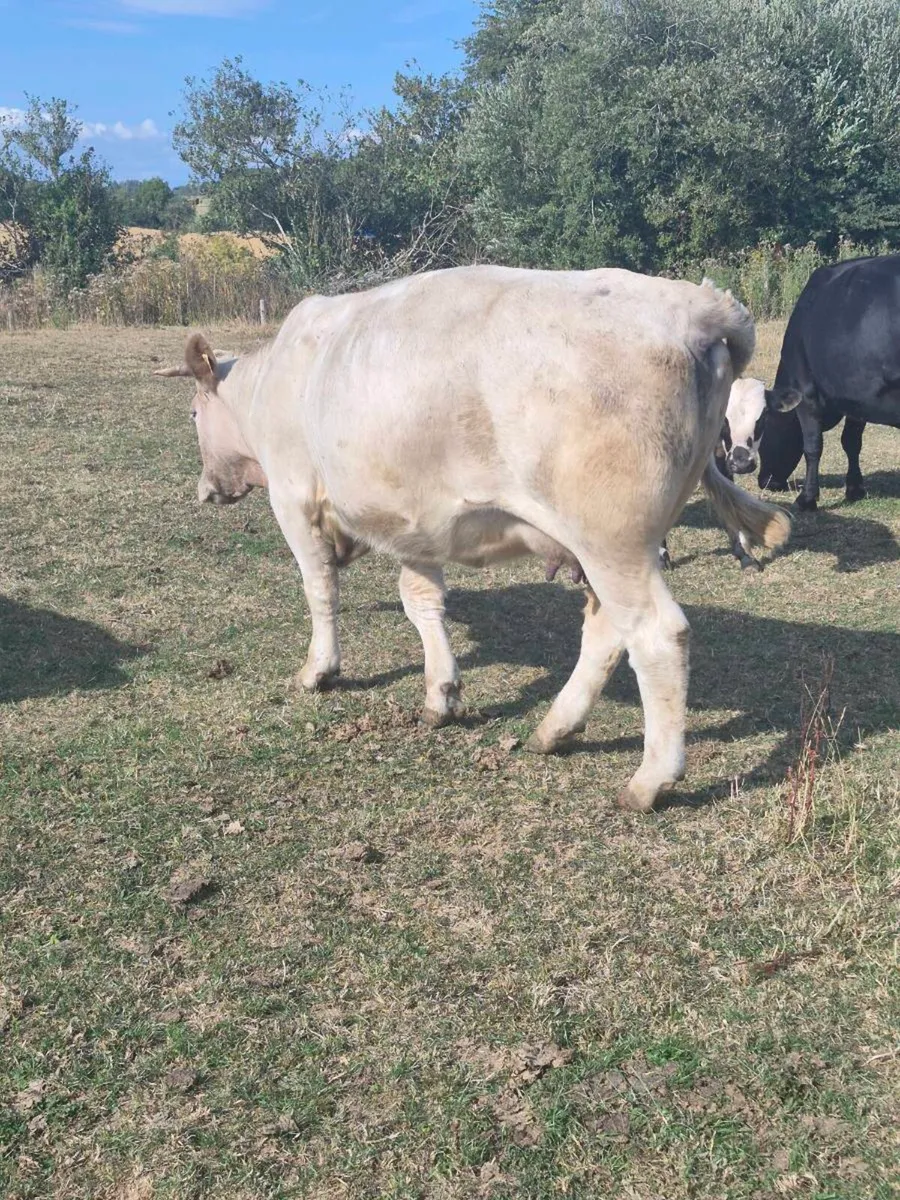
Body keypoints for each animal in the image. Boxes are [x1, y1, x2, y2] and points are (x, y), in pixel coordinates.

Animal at [155, 265, 790, 812]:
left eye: (192, 414)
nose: (205, 489)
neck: (273, 381)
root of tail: (693, 303)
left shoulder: (294, 498)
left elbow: (320, 591)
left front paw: (319, 670)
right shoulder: (416, 523)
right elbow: (421, 602)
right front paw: (441, 694)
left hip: (614, 539)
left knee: (658, 636)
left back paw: (649, 780)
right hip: (604, 546)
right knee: (607, 630)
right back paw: (555, 729)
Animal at [758, 254, 900, 508]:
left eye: (763, 430)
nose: (763, 481)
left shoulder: (806, 391)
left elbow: (812, 446)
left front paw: (806, 499)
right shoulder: (857, 397)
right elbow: (851, 441)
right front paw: (855, 488)